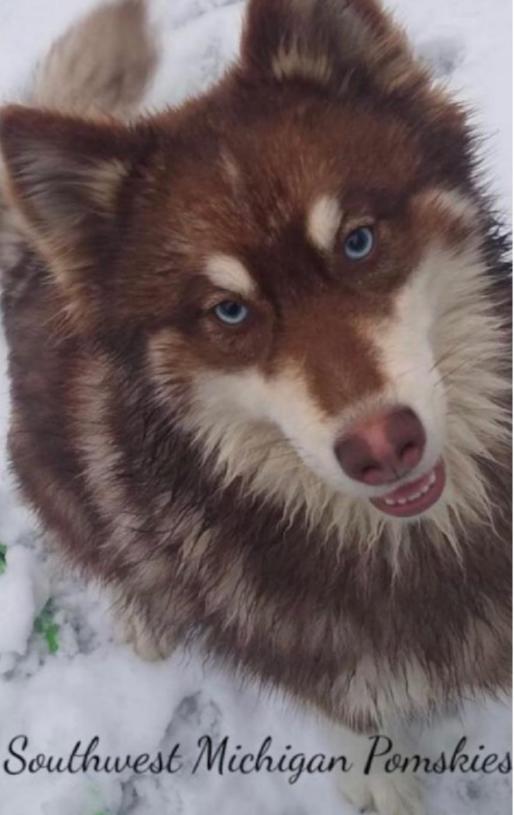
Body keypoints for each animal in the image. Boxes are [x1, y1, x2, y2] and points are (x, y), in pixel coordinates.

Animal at [0, 0, 511, 813]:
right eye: (229, 311)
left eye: (358, 241)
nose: (381, 446)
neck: (409, 543)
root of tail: (28, 264)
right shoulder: (301, 654)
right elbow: (349, 711)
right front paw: (379, 772)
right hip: (55, 470)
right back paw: (139, 607)